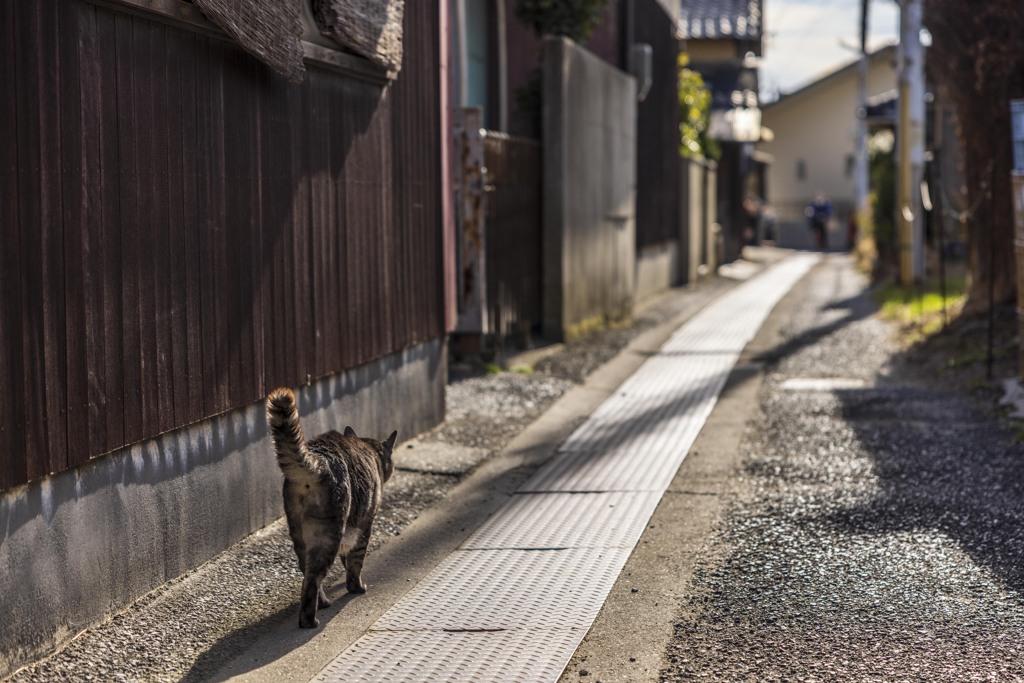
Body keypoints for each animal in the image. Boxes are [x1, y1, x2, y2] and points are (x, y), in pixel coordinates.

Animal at [264, 387, 395, 626]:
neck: (368, 449)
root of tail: (319, 459)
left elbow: (347, 558)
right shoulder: (364, 524)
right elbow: (355, 560)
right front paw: (356, 587)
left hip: (299, 532)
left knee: (307, 572)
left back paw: (321, 603)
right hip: (329, 532)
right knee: (314, 577)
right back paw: (309, 620)